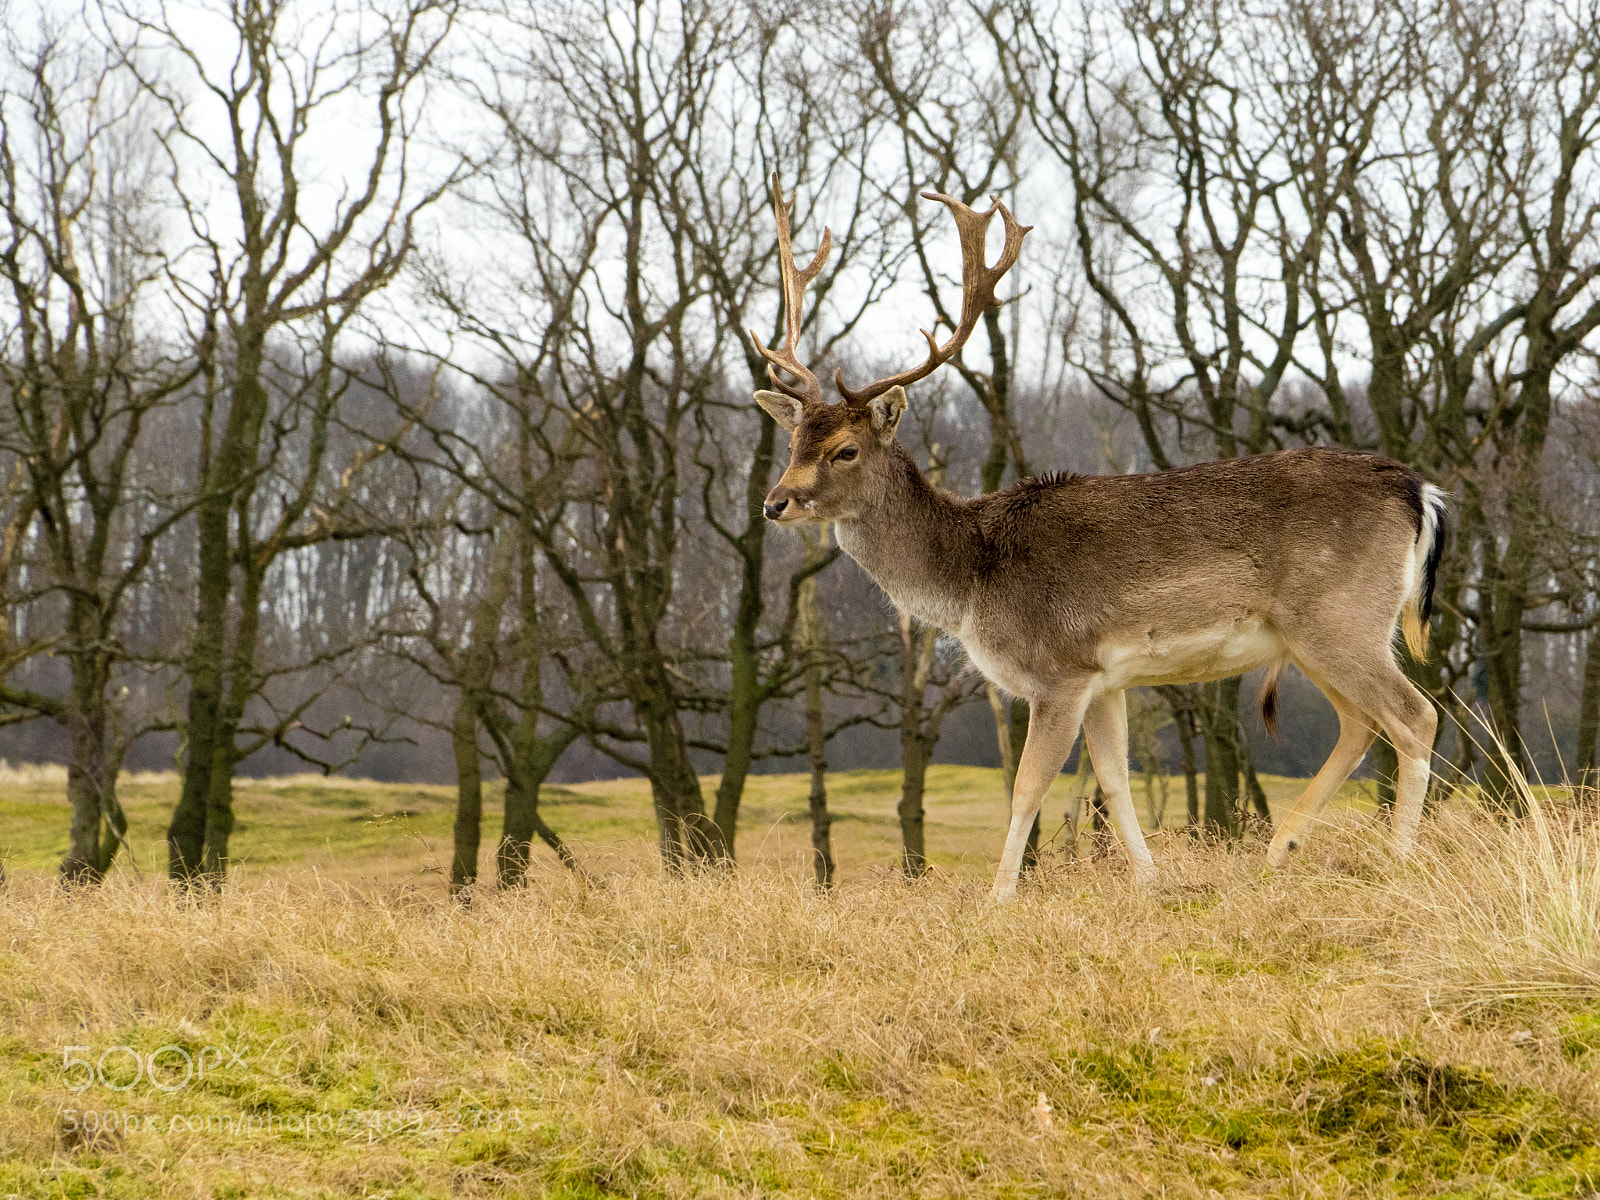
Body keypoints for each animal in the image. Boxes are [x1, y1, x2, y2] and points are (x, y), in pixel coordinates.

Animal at [748, 176, 1447, 901]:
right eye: (794, 442)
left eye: (846, 450)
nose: (774, 503)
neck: (972, 579)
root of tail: (1419, 492)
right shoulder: (1105, 679)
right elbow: (1114, 779)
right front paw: (1150, 880)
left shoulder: (1058, 668)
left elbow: (1029, 785)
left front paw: (999, 897)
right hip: (1316, 635)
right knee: (1361, 723)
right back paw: (1277, 851)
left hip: (1339, 618)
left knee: (1413, 715)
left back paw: (1398, 859)